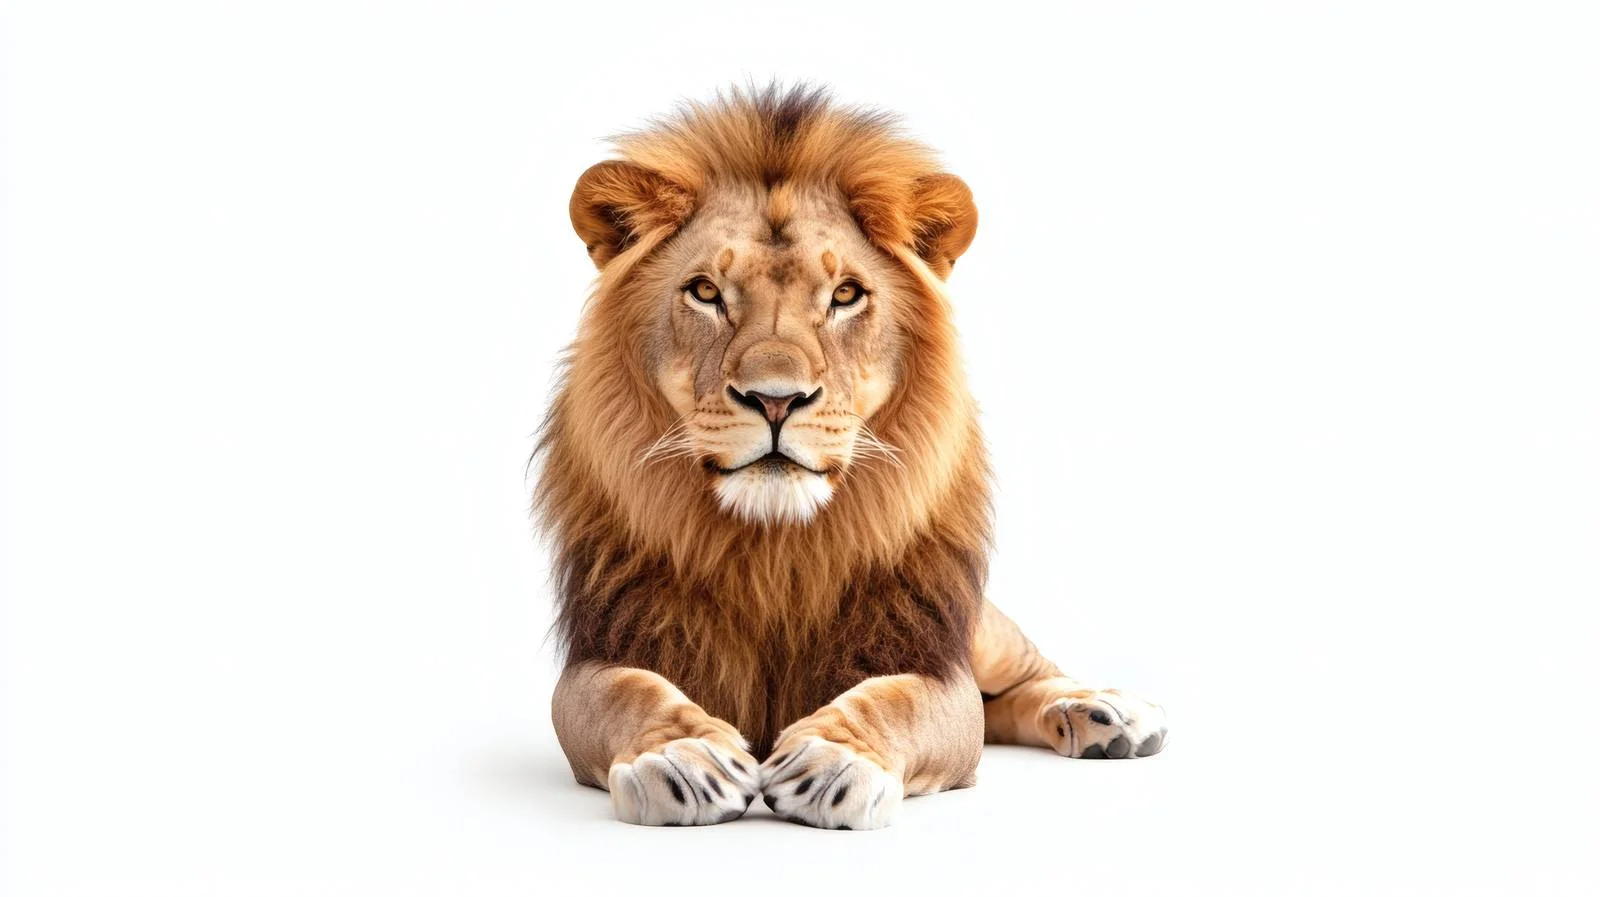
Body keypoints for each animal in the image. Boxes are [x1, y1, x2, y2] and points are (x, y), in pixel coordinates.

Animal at [535, 84, 1166, 829]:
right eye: (706, 292)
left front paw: (833, 760)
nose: (775, 399)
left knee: (1024, 671)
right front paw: (683, 755)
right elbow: (630, 693)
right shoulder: (605, 647)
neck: (772, 549)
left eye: (844, 295)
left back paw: (1104, 709)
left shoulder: (931, 656)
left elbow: (896, 700)